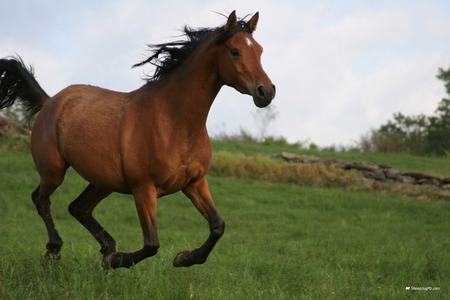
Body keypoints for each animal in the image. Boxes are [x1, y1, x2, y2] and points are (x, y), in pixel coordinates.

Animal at [0, 11, 274, 270]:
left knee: (78, 207)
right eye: (235, 51)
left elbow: (218, 226)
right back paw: (56, 249)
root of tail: (50, 102)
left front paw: (184, 258)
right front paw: (117, 260)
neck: (174, 122)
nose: (266, 92)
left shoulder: (195, 182)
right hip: (54, 171)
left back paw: (107, 247)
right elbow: (152, 244)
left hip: (103, 181)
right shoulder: (144, 188)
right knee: (41, 199)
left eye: (260, 50)